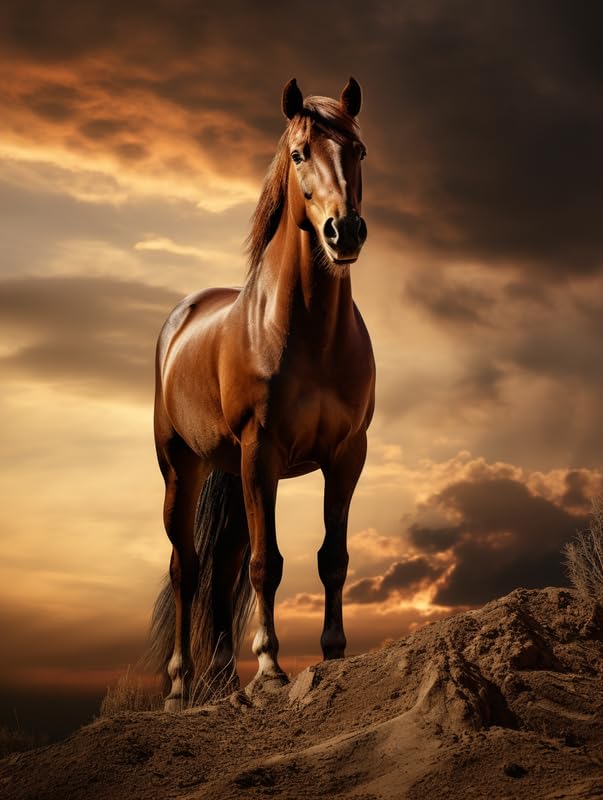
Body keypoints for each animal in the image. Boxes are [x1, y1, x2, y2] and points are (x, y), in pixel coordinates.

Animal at [149, 77, 375, 710]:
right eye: (299, 154)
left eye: (359, 151)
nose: (344, 232)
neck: (308, 332)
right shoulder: (262, 453)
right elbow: (266, 562)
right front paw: (271, 667)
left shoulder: (347, 456)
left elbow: (332, 558)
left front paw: (334, 652)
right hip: (183, 469)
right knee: (188, 567)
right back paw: (181, 685)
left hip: (230, 469)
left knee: (221, 567)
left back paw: (224, 679)